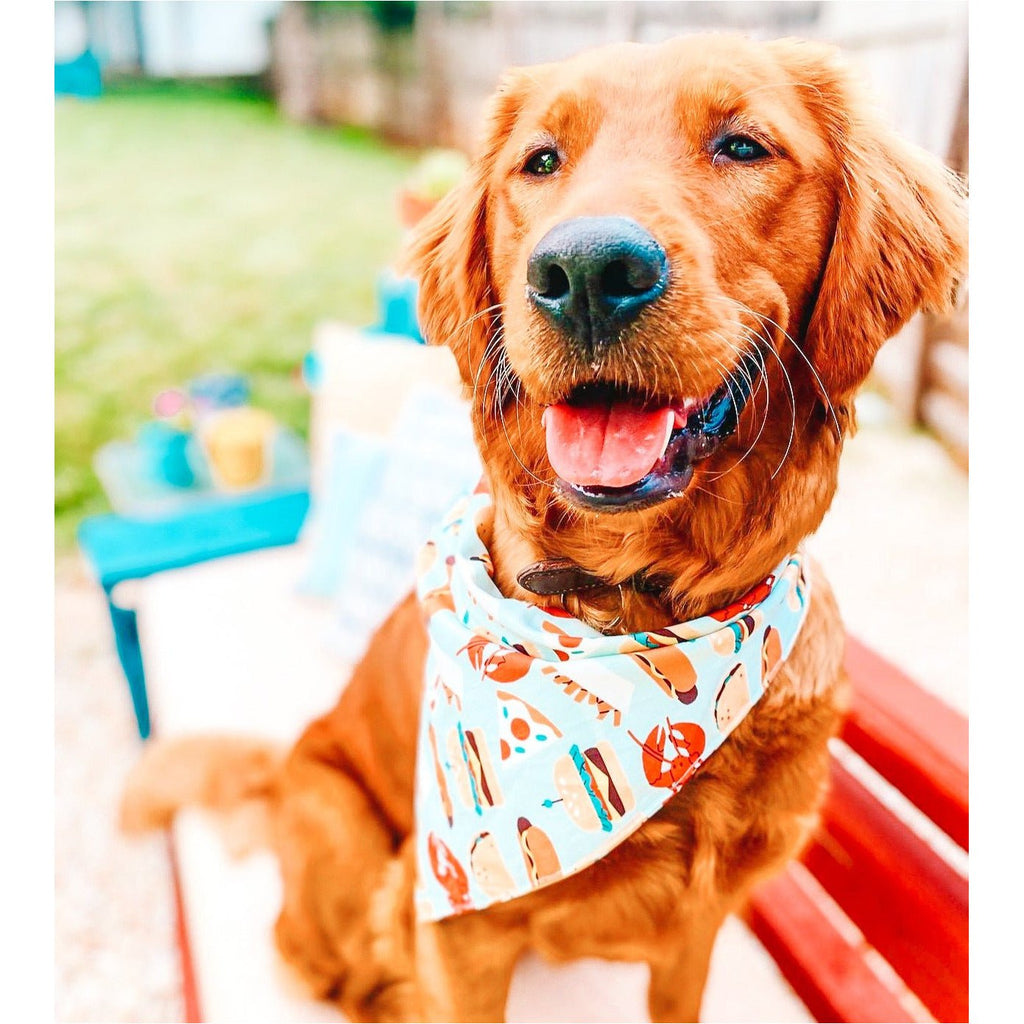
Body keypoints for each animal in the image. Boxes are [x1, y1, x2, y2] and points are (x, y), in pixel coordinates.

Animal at [121, 34, 966, 1024]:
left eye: (744, 146)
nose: (588, 273)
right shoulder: (462, 931)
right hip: (353, 839)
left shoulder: (697, 929)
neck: (632, 612)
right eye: (541, 162)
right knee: (325, 960)